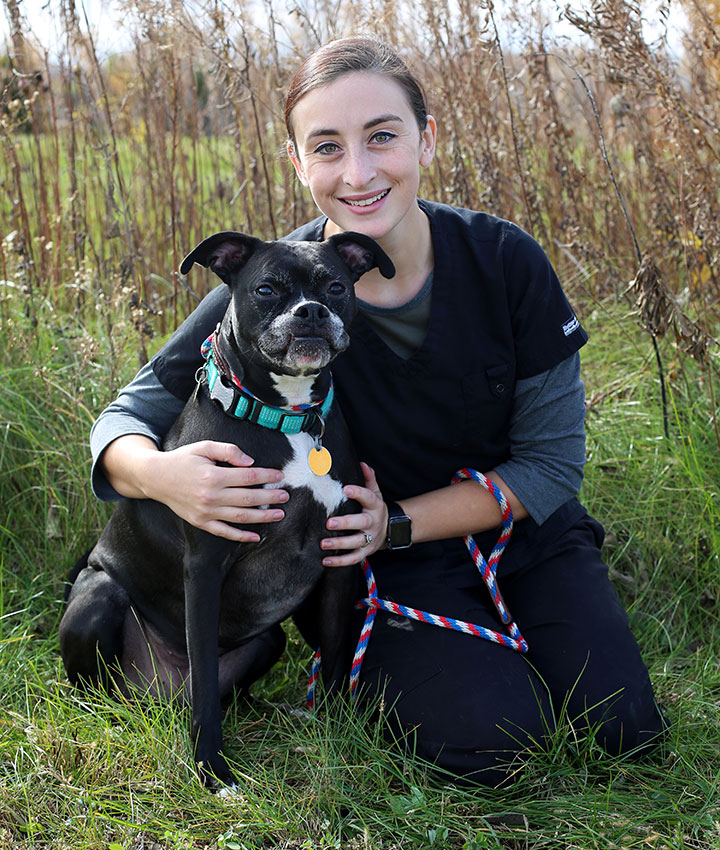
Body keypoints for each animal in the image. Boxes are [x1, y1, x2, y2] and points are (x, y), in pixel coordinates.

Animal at [62, 227, 396, 788]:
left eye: (334, 286)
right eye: (266, 289)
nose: (310, 311)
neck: (286, 418)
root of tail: (158, 697)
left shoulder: (339, 557)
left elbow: (334, 656)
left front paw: (339, 739)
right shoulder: (205, 567)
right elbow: (204, 689)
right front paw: (212, 771)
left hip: (268, 640)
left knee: (228, 690)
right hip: (97, 596)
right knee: (110, 690)